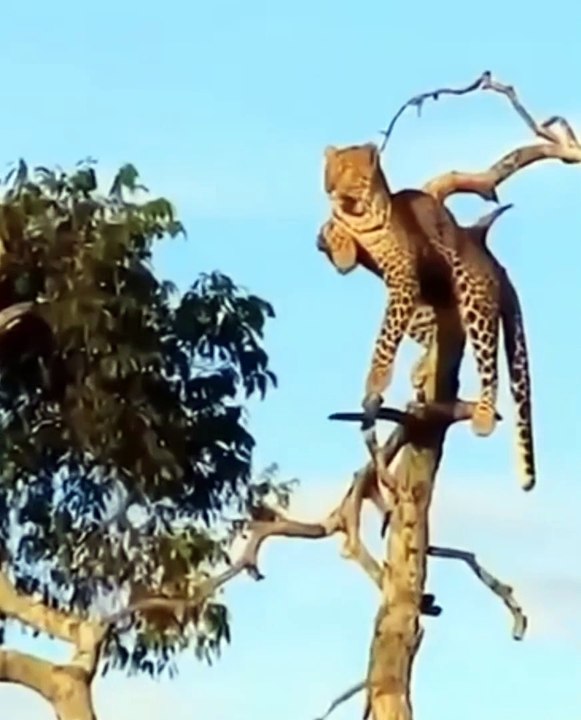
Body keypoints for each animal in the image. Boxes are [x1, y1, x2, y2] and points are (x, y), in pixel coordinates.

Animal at [317, 142, 535, 491]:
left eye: (348, 170)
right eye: (330, 169)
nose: (330, 188)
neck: (361, 214)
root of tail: (496, 265)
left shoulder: (403, 280)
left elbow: (385, 339)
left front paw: (376, 380)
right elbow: (333, 232)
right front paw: (342, 245)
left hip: (474, 299)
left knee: (489, 364)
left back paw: (483, 416)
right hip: (427, 307)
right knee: (435, 334)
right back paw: (420, 370)